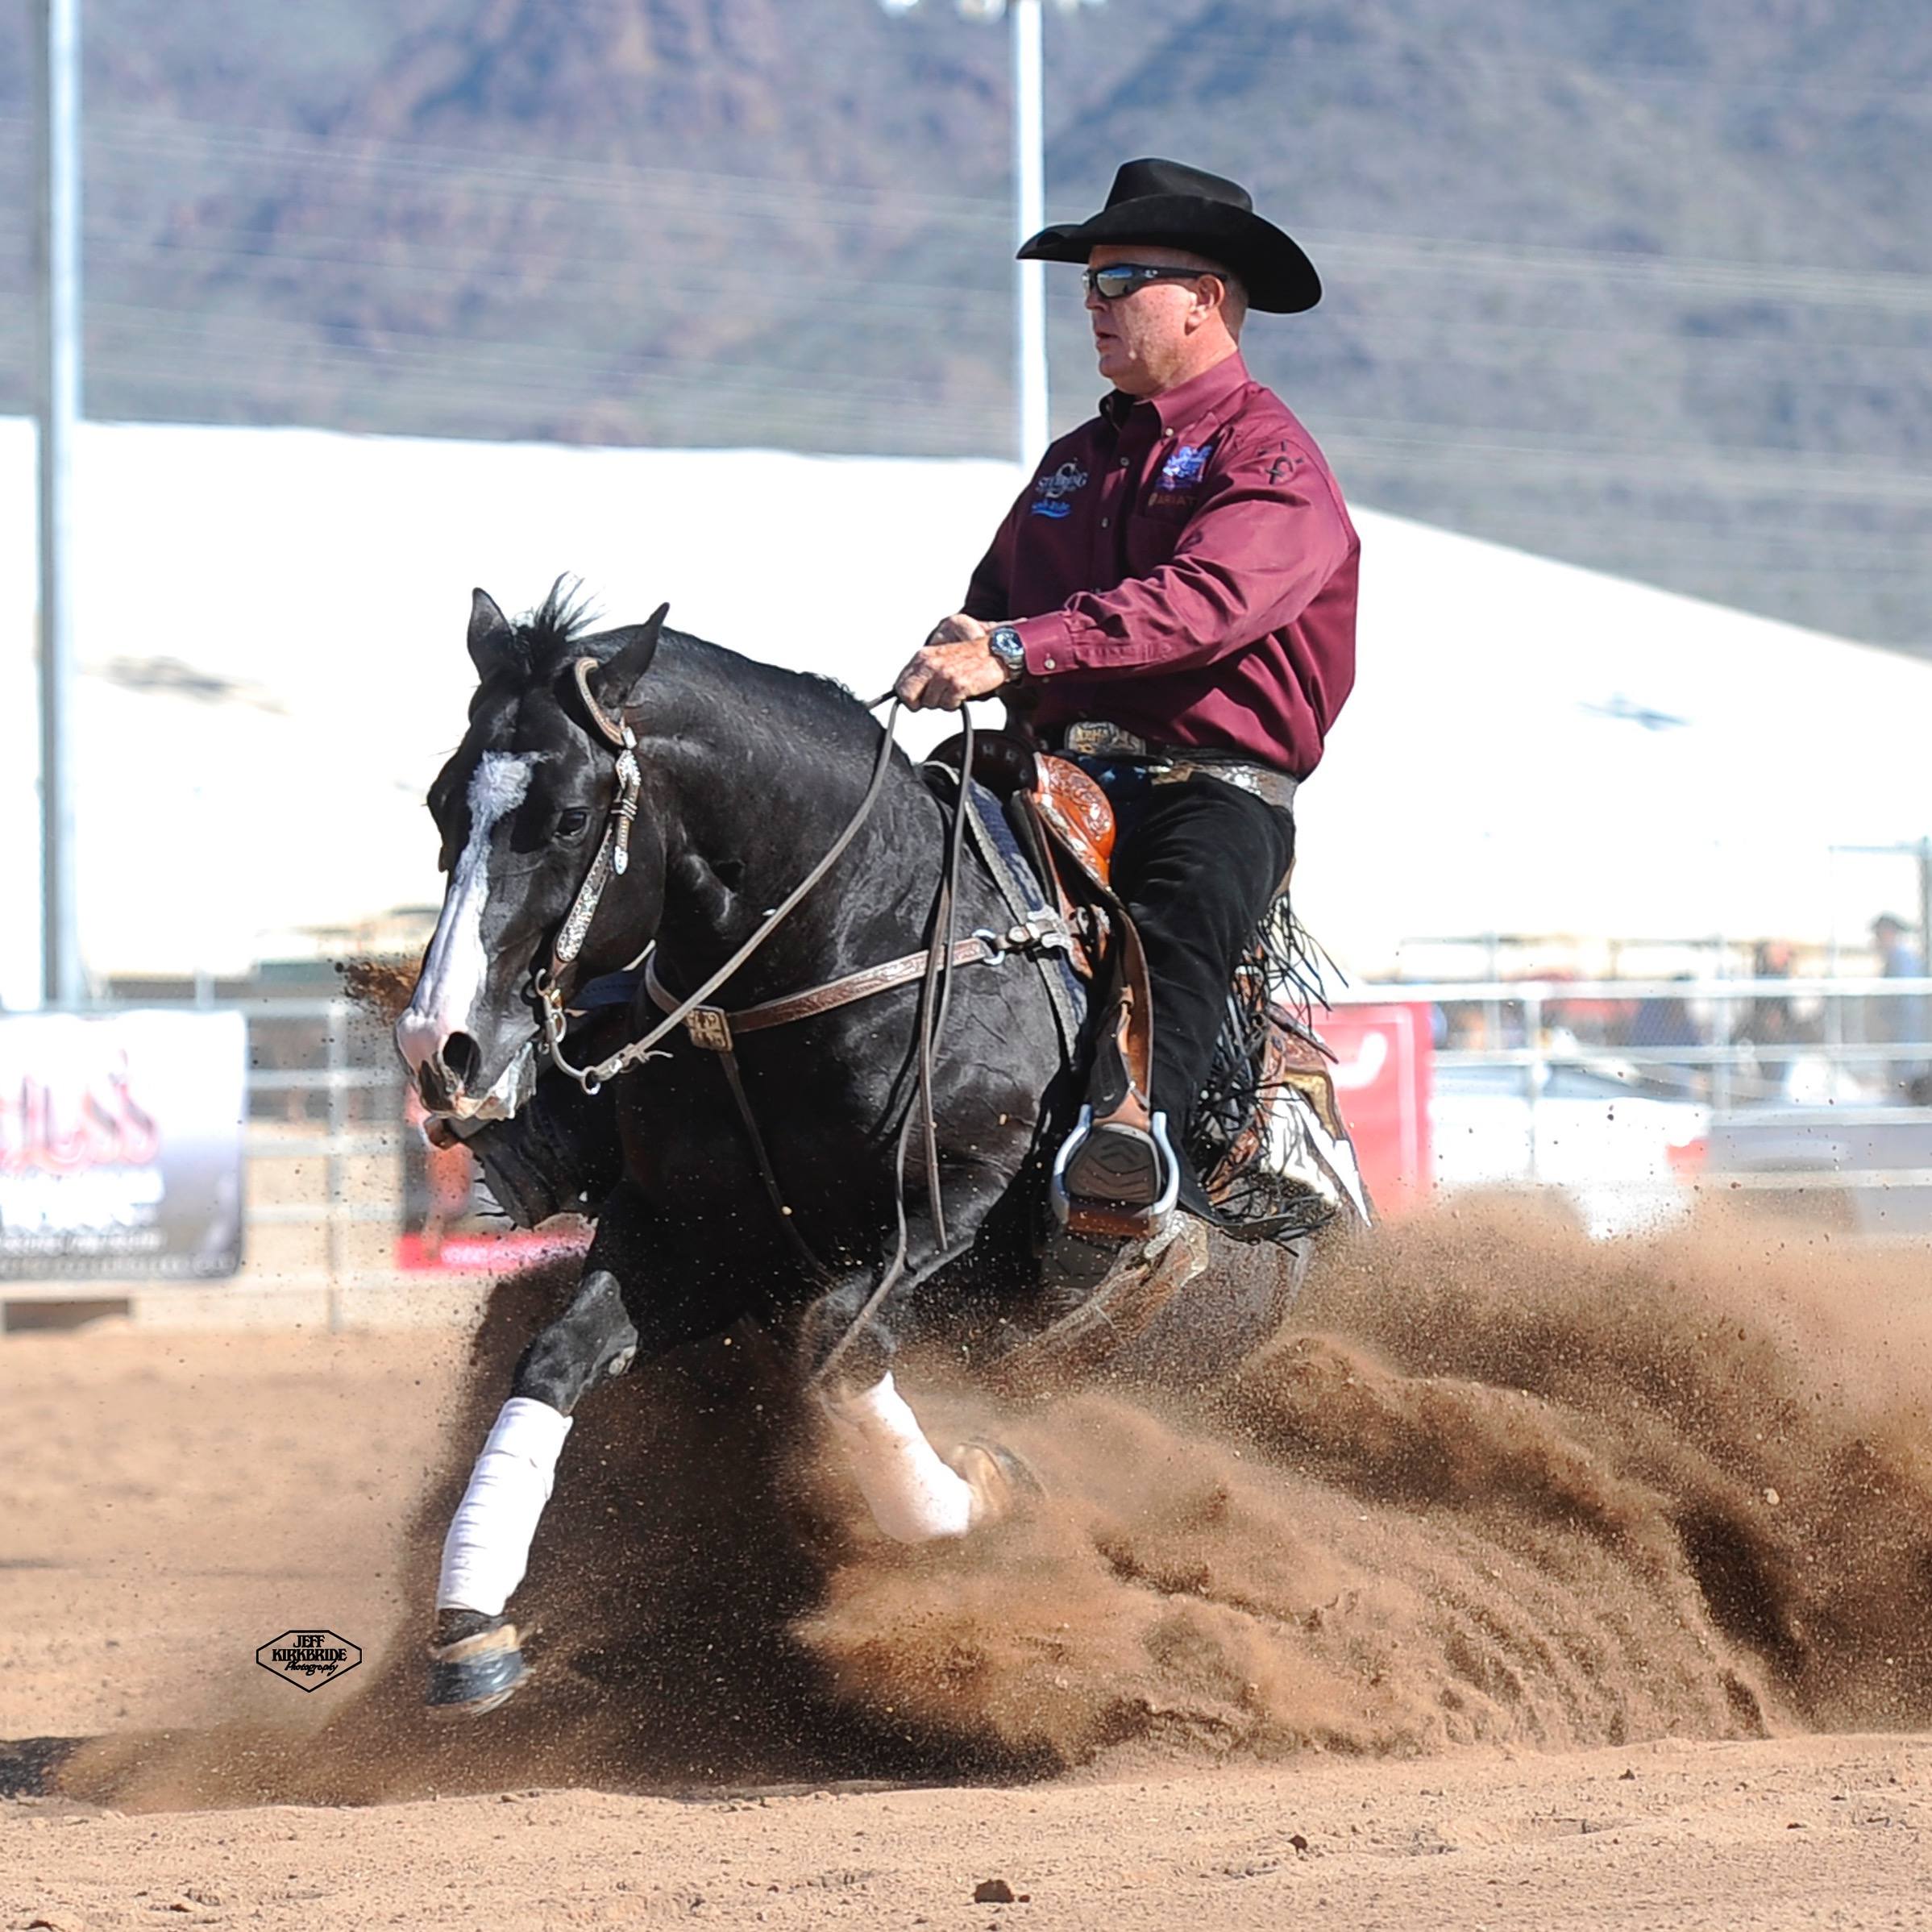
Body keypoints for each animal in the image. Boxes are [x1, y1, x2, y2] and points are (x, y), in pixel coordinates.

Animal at [397, 580, 1321, 1715]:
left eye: (569, 816)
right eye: (444, 804)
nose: (441, 1045)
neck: (843, 939)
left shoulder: (950, 1197)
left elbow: (838, 1343)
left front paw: (979, 1498)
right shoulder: (683, 1232)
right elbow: (557, 1358)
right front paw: (470, 1626)